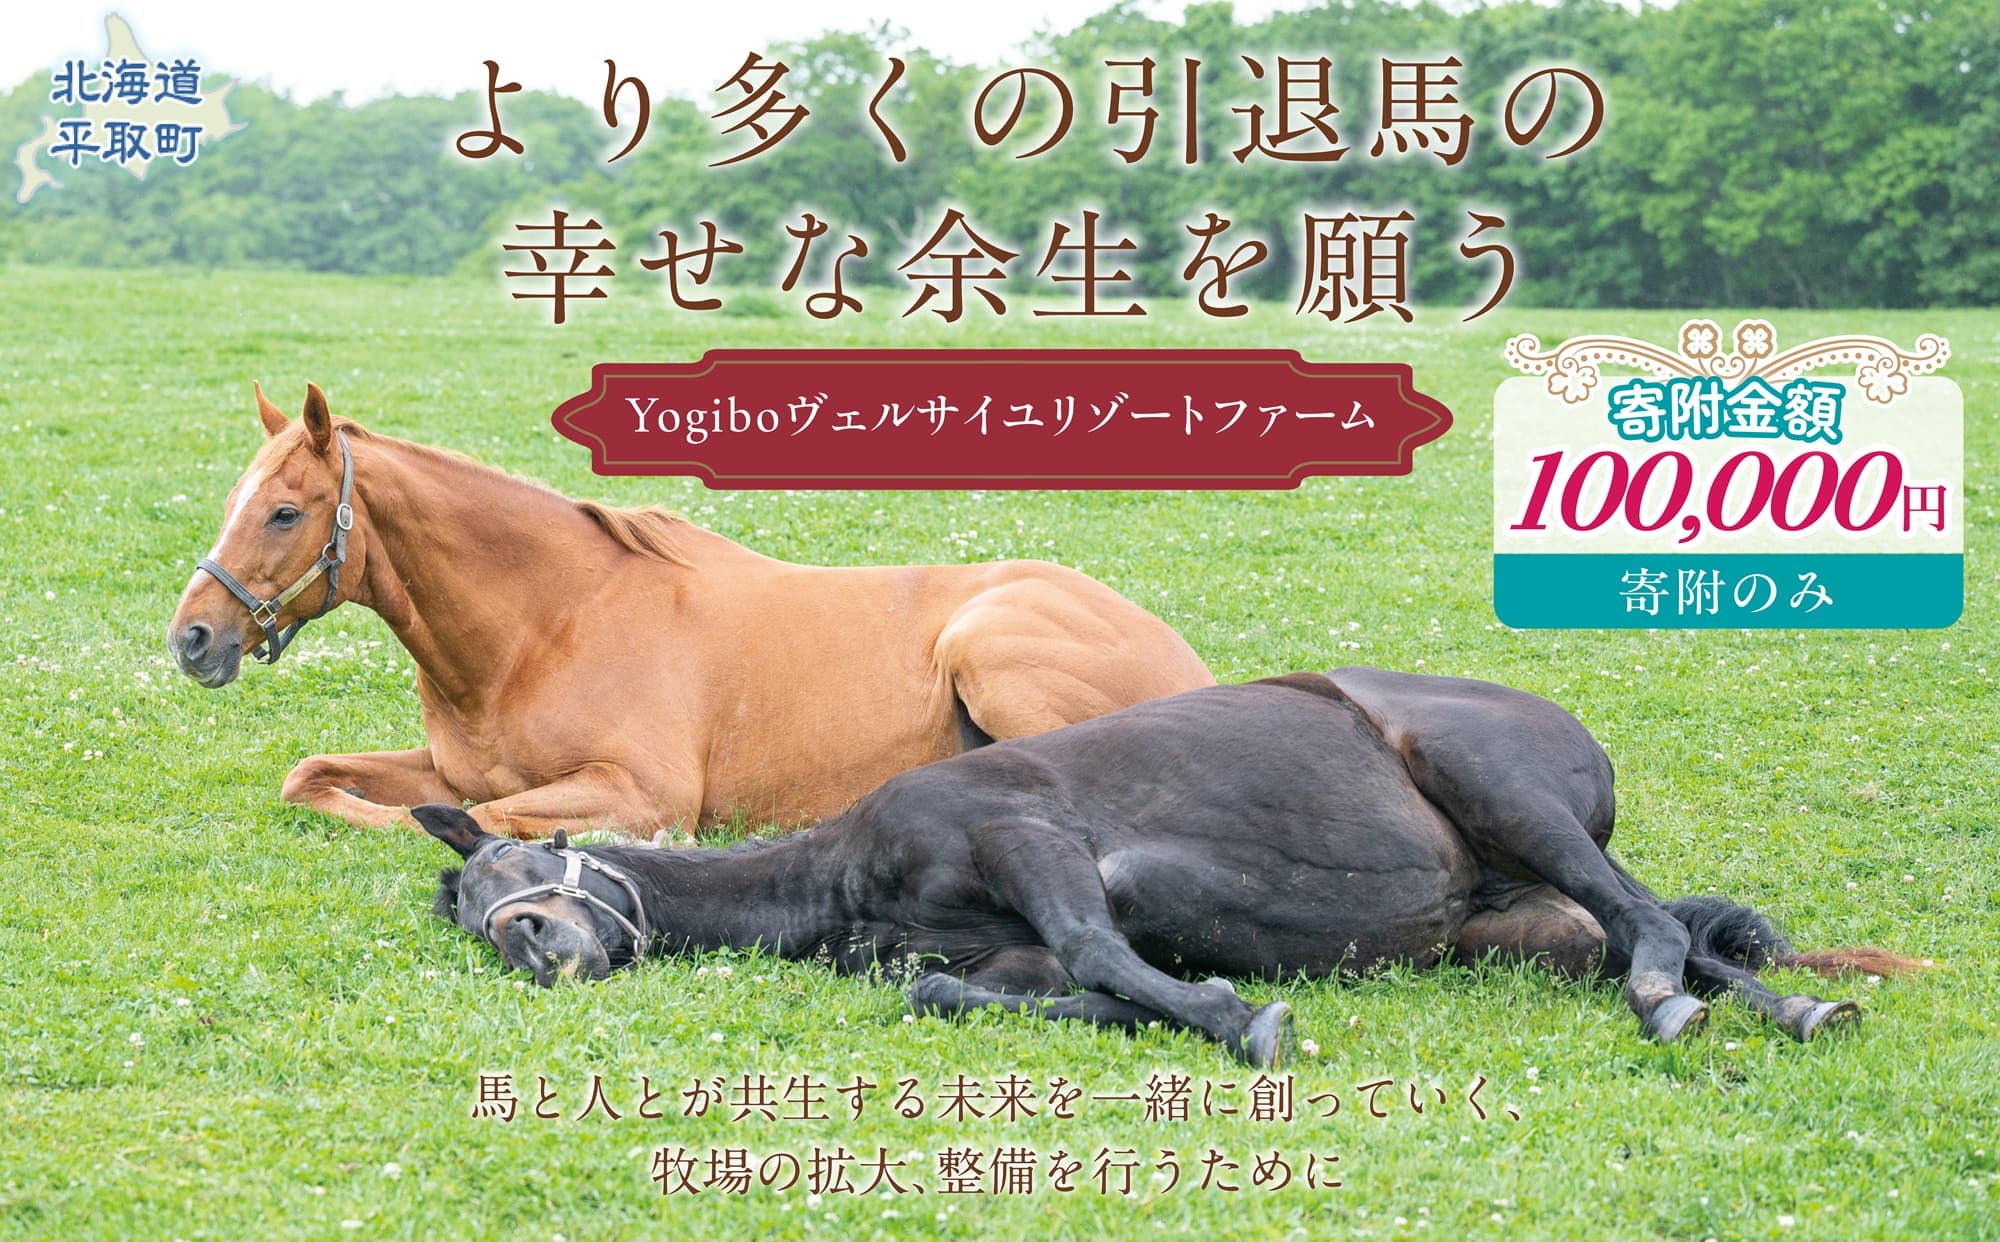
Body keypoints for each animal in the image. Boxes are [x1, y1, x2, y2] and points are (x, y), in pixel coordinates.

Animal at [166, 383, 1214, 838]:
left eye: (285, 511)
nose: (192, 638)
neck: (545, 627)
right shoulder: (448, 765)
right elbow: (316, 779)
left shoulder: (639, 789)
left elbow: (474, 817)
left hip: (988, 649)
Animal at [421, 669, 1918, 1066]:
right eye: (478, 912)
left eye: (534, 856)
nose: (539, 941)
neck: (847, 869)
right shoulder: (992, 951)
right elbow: (961, 991)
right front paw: (1177, 1007)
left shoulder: (1032, 841)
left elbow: (1100, 950)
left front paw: (1238, 1020)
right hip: (1523, 922)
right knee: (1673, 936)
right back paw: (1785, 1006)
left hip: (1498, 790)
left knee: (1651, 927)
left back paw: (1690, 1001)